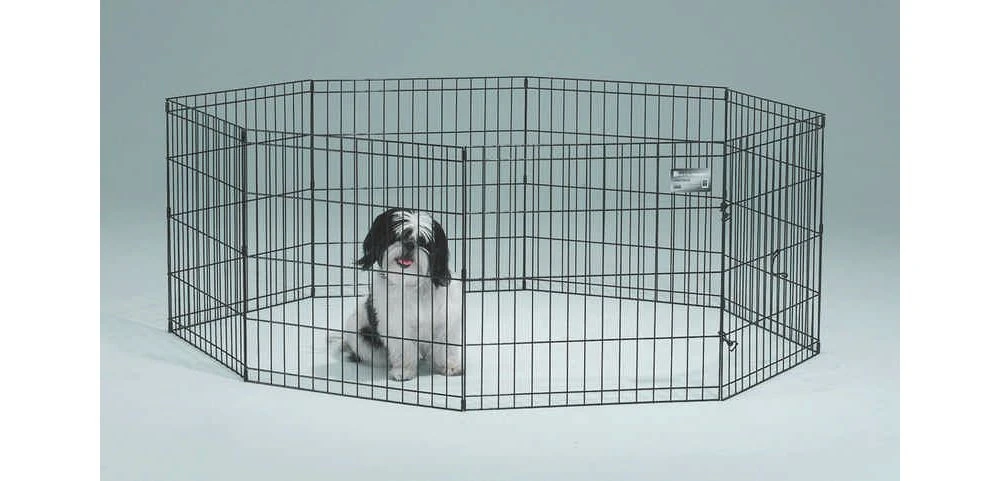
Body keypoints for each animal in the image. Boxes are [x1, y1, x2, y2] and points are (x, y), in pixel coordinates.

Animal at [336, 208, 464, 381]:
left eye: (423, 242)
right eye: (397, 237)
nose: (409, 244)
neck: (411, 284)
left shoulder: (445, 319)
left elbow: (445, 345)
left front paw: (450, 367)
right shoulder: (396, 324)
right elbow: (404, 347)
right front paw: (404, 371)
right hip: (361, 336)